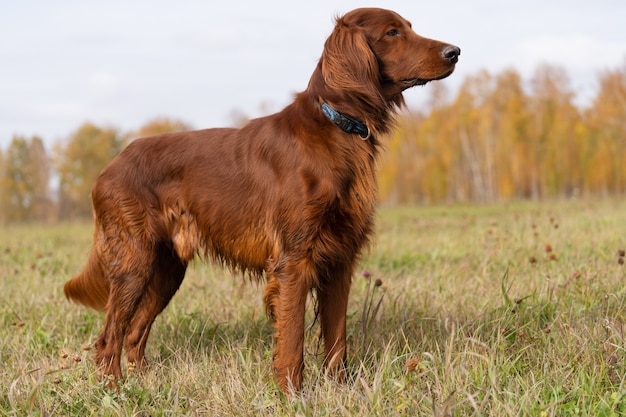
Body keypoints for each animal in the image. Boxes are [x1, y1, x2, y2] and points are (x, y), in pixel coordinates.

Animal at [64, 6, 458, 392]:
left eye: (409, 26)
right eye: (392, 32)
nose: (454, 51)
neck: (336, 125)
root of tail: (109, 168)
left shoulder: (339, 260)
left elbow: (337, 338)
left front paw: (341, 389)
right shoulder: (294, 259)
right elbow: (292, 339)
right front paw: (292, 394)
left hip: (166, 268)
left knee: (133, 331)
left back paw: (142, 382)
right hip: (135, 260)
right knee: (110, 335)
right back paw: (115, 389)